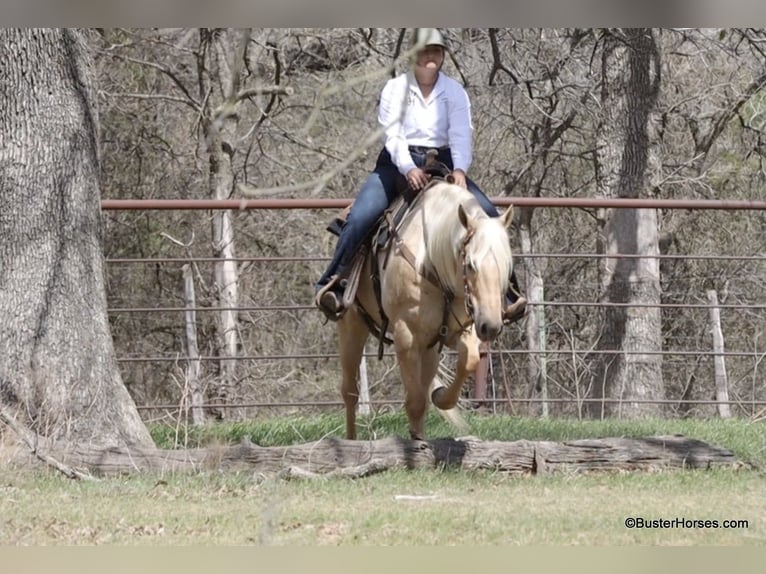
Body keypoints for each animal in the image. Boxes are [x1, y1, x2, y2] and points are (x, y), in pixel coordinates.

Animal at [336, 180, 515, 440]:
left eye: (507, 265)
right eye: (471, 264)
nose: (491, 327)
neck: (430, 258)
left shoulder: (462, 327)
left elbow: (468, 362)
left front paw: (440, 397)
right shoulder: (407, 336)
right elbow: (415, 402)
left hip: (429, 347)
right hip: (352, 324)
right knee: (350, 391)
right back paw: (351, 441)